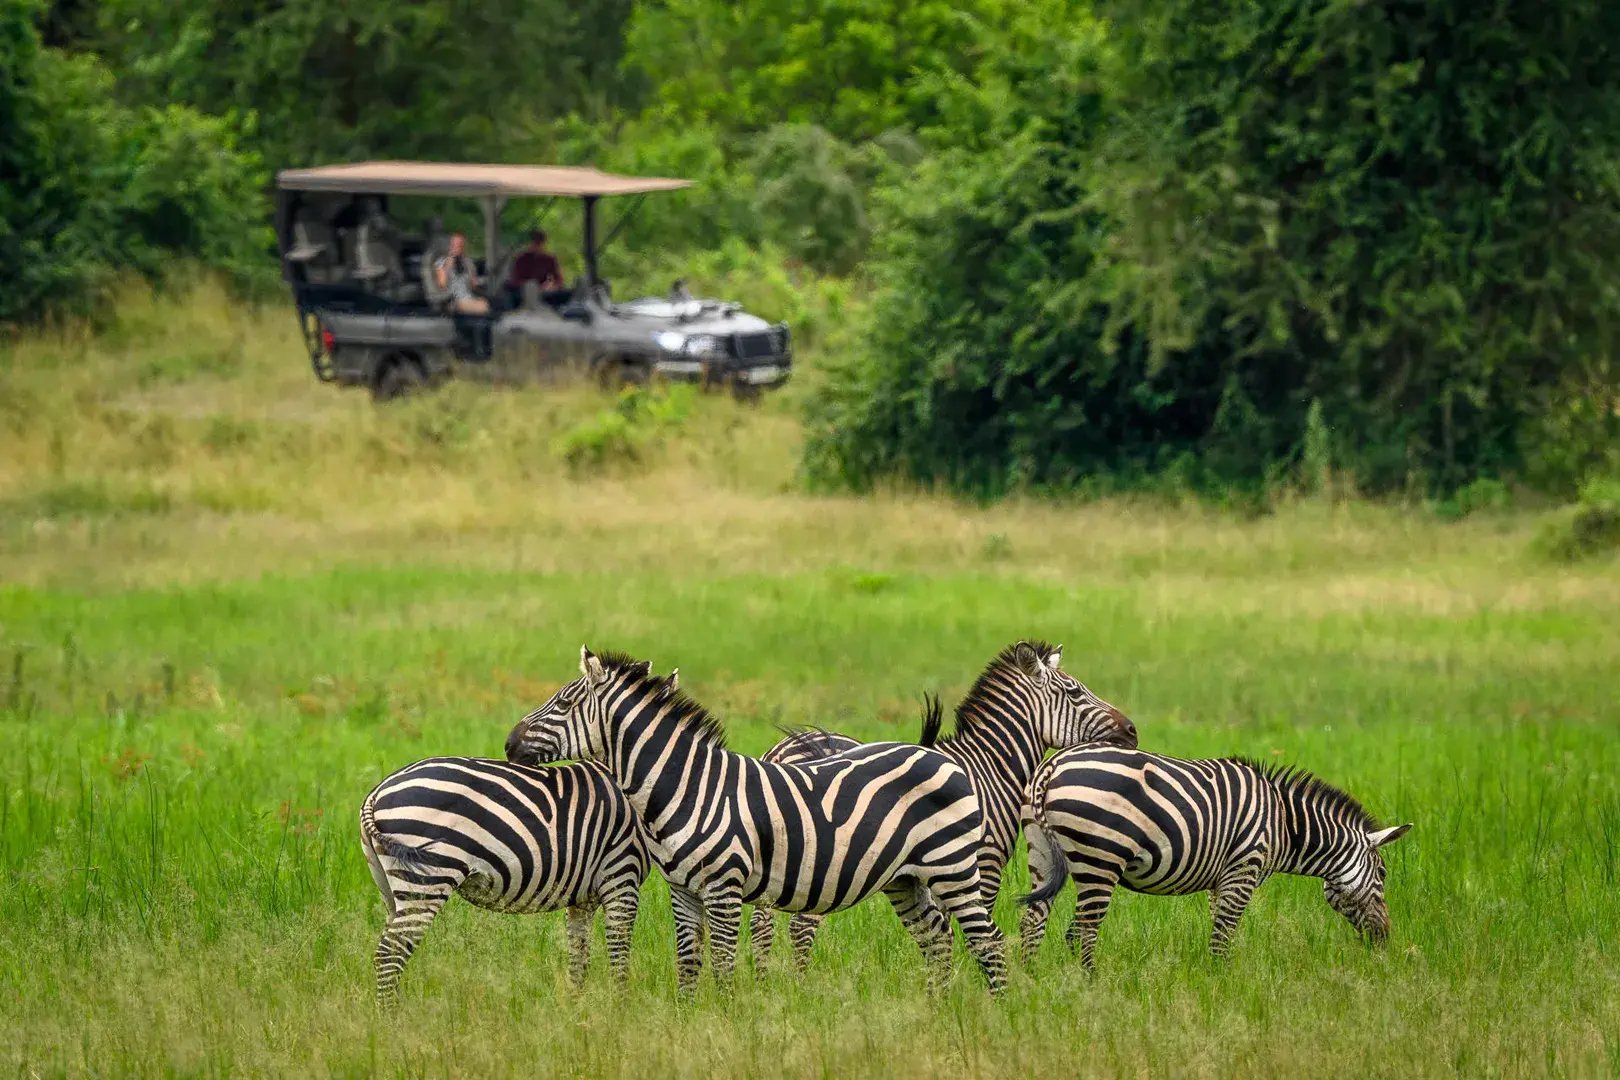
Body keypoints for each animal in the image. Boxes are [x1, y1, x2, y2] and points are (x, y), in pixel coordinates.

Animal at [359, 670, 670, 1003]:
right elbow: (619, 956)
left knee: (385, 949)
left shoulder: (583, 898)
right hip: (427, 878)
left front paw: (576, 1009)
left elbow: (578, 958)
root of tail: (377, 792)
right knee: (391, 953)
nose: (510, 746)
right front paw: (620, 1007)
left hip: (390, 884)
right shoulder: (621, 877)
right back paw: (392, 1015)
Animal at [511, 650, 1004, 997]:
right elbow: (688, 962)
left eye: (564, 702)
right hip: (905, 879)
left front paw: (729, 1023)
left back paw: (999, 1014)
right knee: (938, 938)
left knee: (989, 940)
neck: (688, 787)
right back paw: (936, 1008)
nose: (509, 742)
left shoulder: (724, 888)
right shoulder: (682, 890)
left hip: (953, 866)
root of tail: (938, 756)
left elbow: (724, 963)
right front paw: (687, 1021)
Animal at [748, 637, 1140, 977]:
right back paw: (800, 984)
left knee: (761, 923)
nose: (1133, 731)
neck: (987, 768)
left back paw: (765, 984)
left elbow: (942, 930)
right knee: (800, 925)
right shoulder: (982, 862)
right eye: (1075, 692)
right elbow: (969, 929)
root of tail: (784, 751)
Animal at [1017, 748, 1412, 965]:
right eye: (1383, 874)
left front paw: (1215, 980)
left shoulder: (1221, 878)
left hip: (1042, 852)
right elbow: (1225, 931)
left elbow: (1217, 926)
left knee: (1032, 921)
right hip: (1101, 859)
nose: (1384, 939)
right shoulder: (1244, 868)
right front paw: (1224, 983)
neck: (1285, 824)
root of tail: (1054, 765)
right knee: (1082, 931)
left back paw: (1031, 980)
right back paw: (1092, 986)